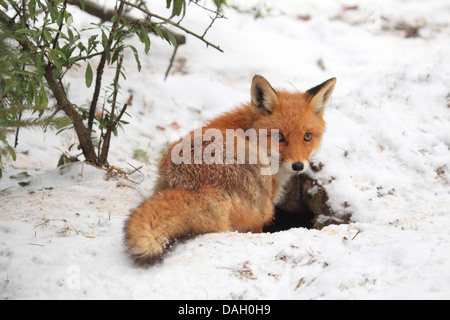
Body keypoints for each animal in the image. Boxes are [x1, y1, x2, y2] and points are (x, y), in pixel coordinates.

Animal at [125, 74, 336, 262]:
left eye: (307, 137)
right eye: (279, 136)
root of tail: (202, 186)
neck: (250, 132)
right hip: (262, 208)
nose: (298, 165)